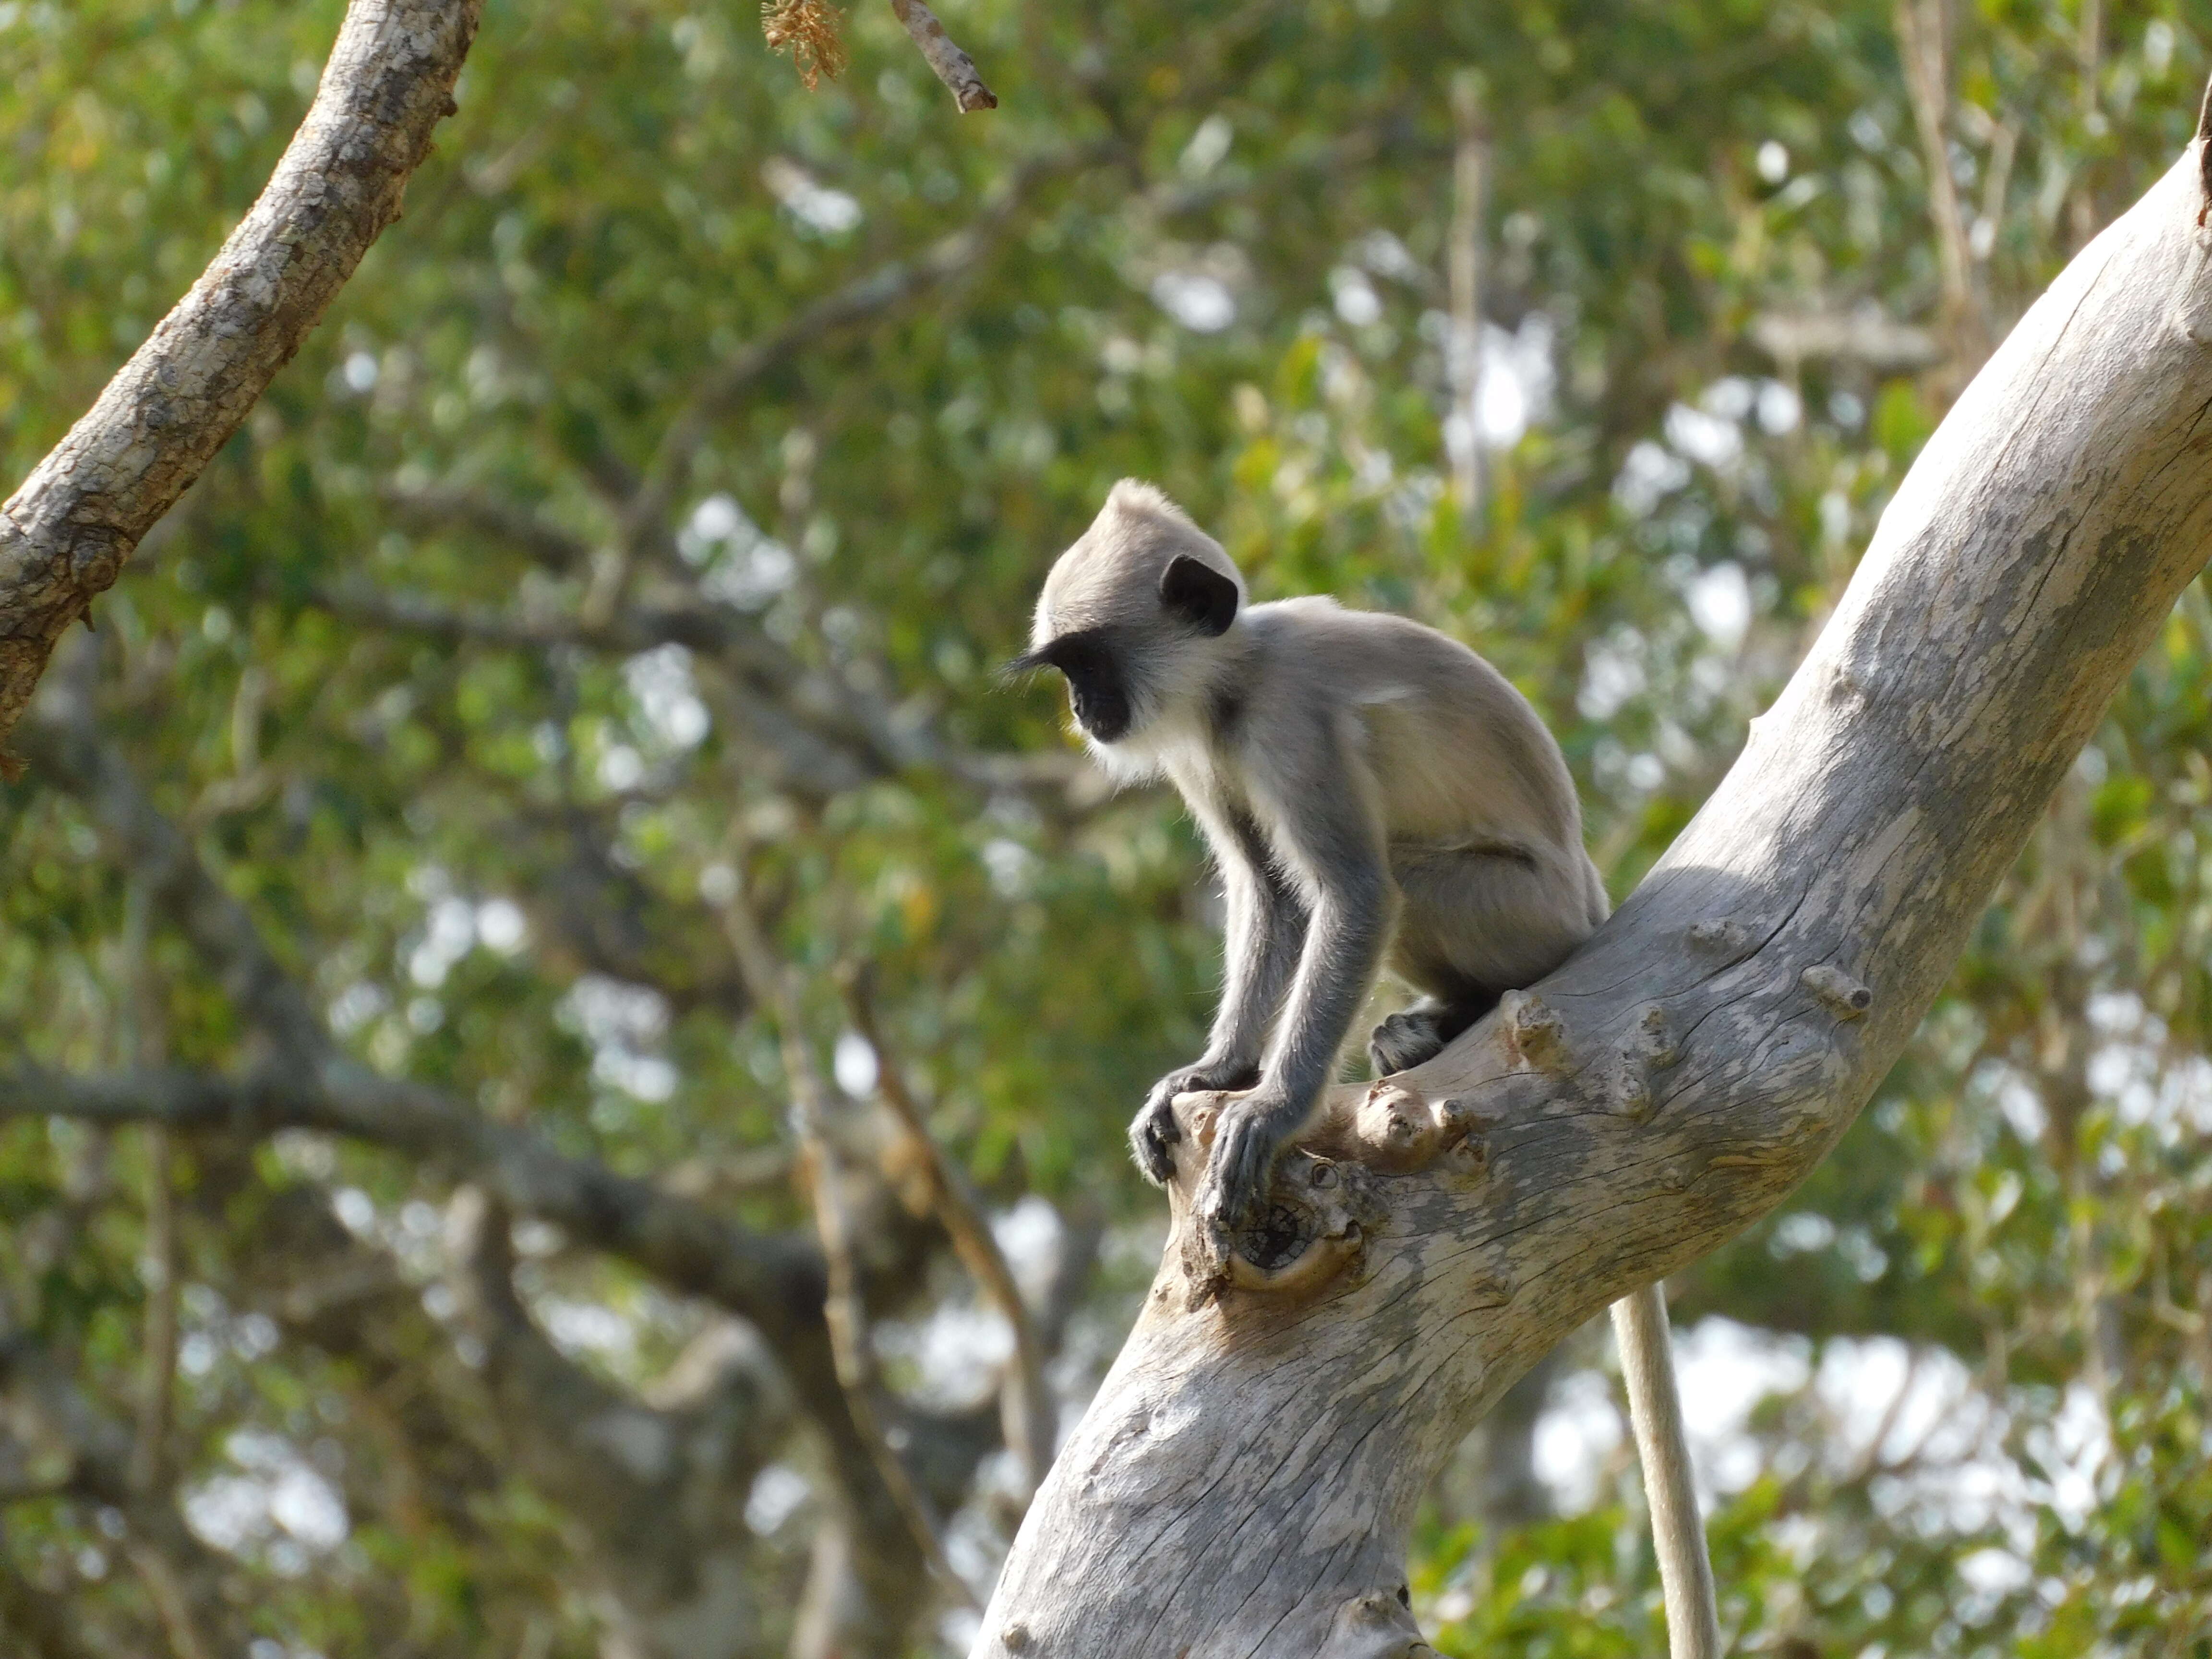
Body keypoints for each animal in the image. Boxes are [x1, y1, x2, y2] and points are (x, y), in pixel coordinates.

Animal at [1017, 480, 1725, 1659]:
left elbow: (1345, 895)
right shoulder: (1209, 752)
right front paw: (1208, 1077)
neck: (1233, 678)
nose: (1081, 709)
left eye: (1089, 660)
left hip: (1520, 909)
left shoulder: (1287, 725)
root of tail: (1591, 896)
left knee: (1399, 878)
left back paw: (1452, 1019)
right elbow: (1272, 897)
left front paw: (1268, 1108)